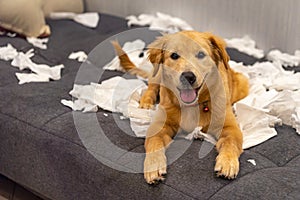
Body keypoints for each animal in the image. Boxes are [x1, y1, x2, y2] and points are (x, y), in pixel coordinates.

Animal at [112, 31, 248, 184]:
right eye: (174, 56)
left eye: (201, 54)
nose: (188, 77)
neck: (192, 105)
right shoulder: (160, 125)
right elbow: (154, 142)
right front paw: (154, 165)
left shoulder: (230, 127)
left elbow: (231, 142)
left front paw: (227, 162)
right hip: (157, 75)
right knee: (151, 88)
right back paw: (145, 103)